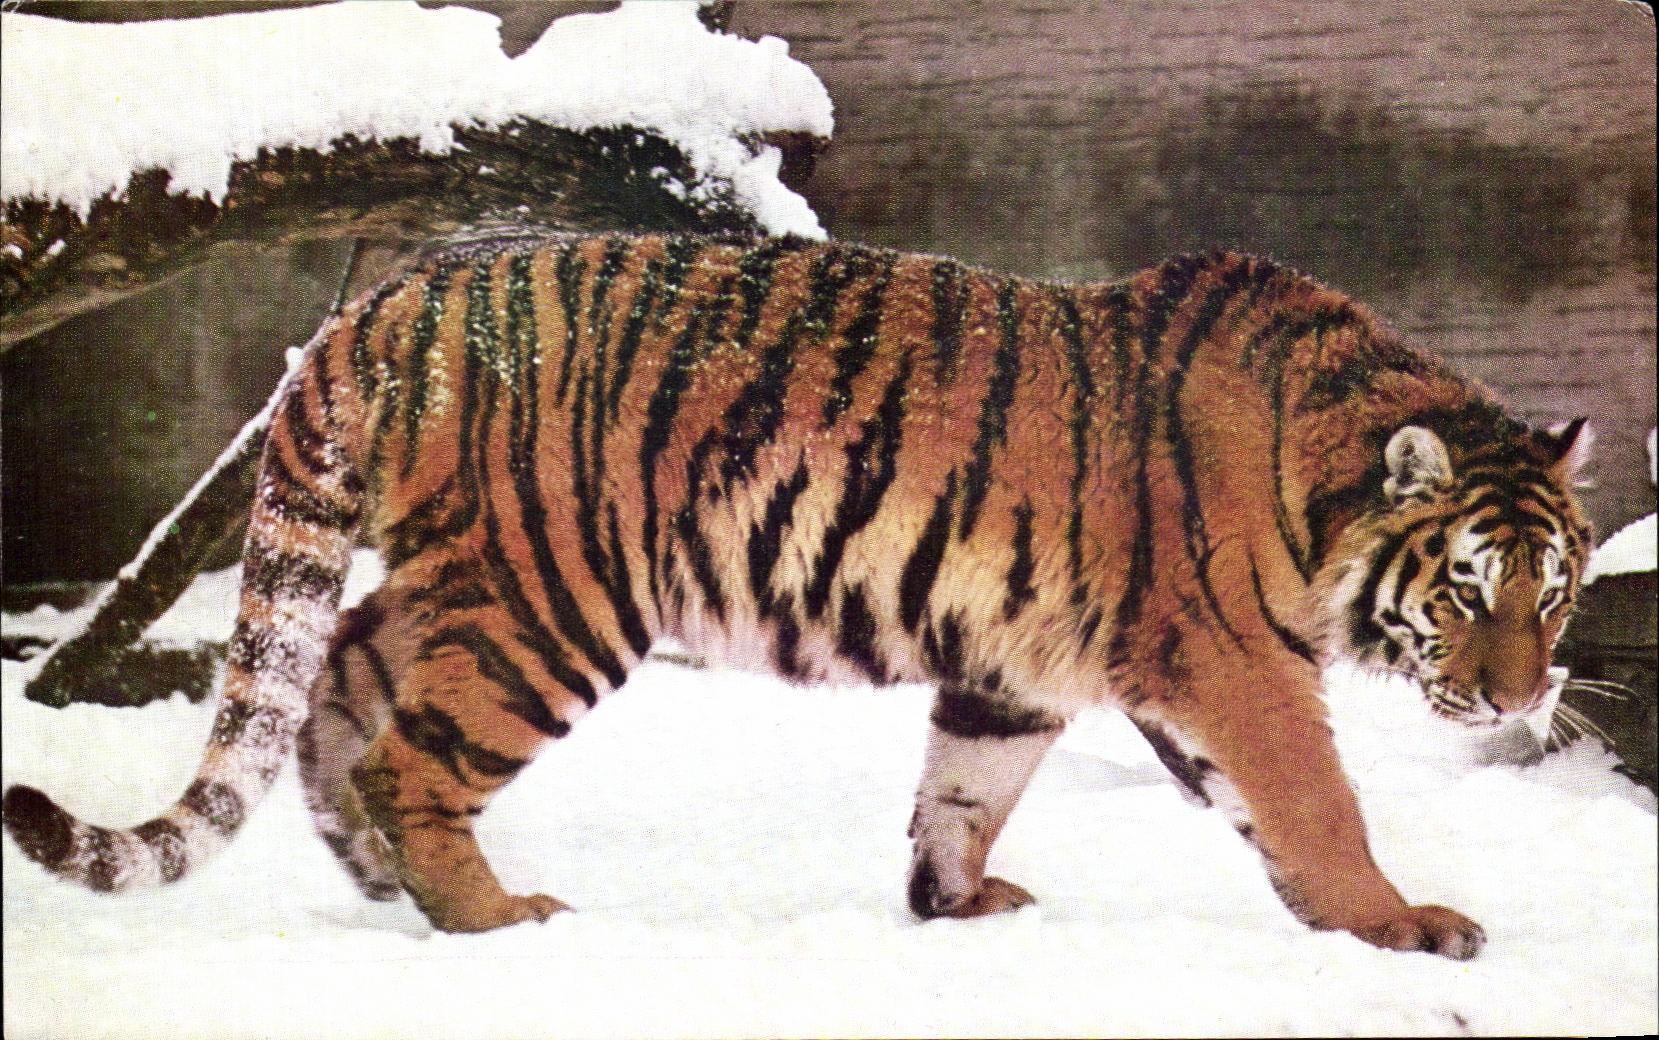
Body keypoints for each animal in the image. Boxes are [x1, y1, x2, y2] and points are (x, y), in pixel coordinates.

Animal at [3, 232, 1592, 959]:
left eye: (1556, 597)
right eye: (1465, 591)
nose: (1526, 695)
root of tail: (387, 295)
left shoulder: (1015, 671)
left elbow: (964, 789)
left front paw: (954, 905)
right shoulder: (1233, 664)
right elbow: (1315, 801)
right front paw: (1398, 927)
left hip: (465, 575)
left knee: (334, 667)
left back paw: (375, 877)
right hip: (551, 599)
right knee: (410, 751)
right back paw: (494, 919)